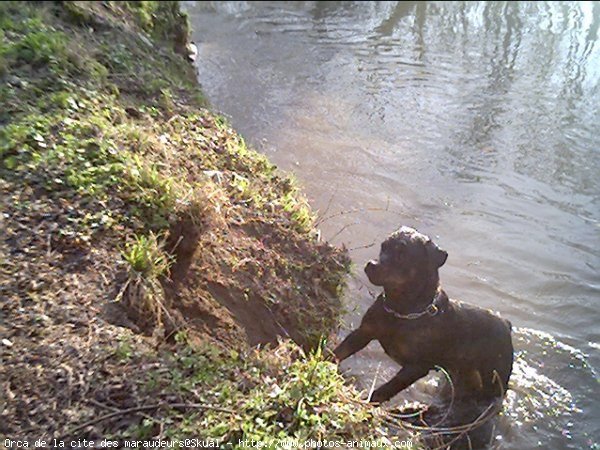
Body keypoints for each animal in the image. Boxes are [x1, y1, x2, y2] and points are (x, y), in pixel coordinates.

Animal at [332, 227, 510, 402]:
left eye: (402, 255)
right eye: (383, 247)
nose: (371, 264)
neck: (402, 310)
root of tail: (506, 324)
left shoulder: (417, 367)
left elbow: (386, 390)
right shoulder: (364, 332)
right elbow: (338, 352)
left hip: (494, 379)